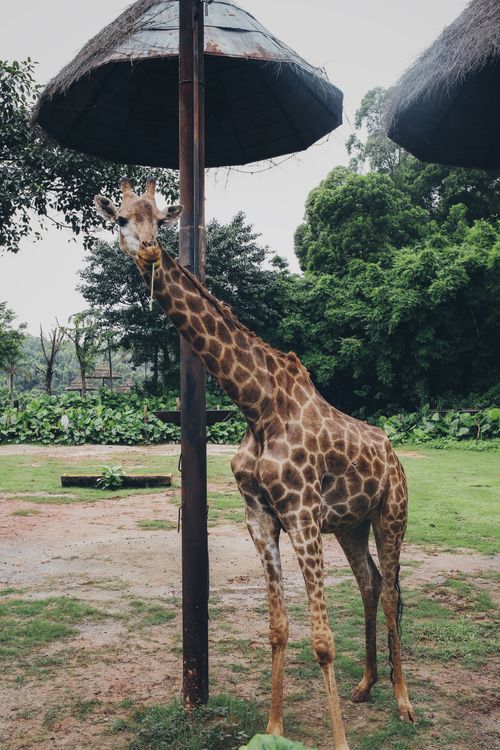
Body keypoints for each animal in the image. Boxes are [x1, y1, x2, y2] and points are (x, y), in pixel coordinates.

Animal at [94, 178, 416, 750]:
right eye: (122, 219)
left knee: (394, 589)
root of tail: (394, 455)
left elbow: (322, 638)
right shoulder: (261, 518)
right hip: (350, 525)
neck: (256, 405)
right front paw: (272, 728)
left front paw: (338, 740)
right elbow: (278, 628)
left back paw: (403, 702)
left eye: (160, 220)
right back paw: (364, 686)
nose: (150, 251)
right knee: (371, 583)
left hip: (390, 514)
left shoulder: (303, 514)